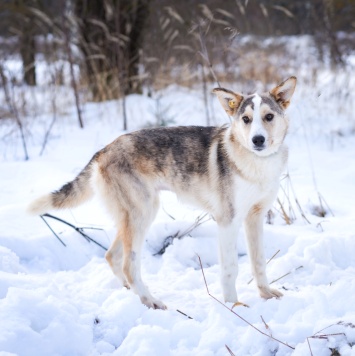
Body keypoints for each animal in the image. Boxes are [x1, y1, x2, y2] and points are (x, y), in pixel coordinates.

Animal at [28, 76, 298, 308]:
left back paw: (131, 293)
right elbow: (231, 267)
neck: (256, 163)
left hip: (133, 216)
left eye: (268, 116)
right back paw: (150, 301)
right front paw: (234, 306)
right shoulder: (228, 221)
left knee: (111, 256)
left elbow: (259, 261)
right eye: (246, 119)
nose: (258, 140)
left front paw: (265, 294)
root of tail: (104, 149)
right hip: (143, 212)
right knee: (128, 265)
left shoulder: (255, 217)